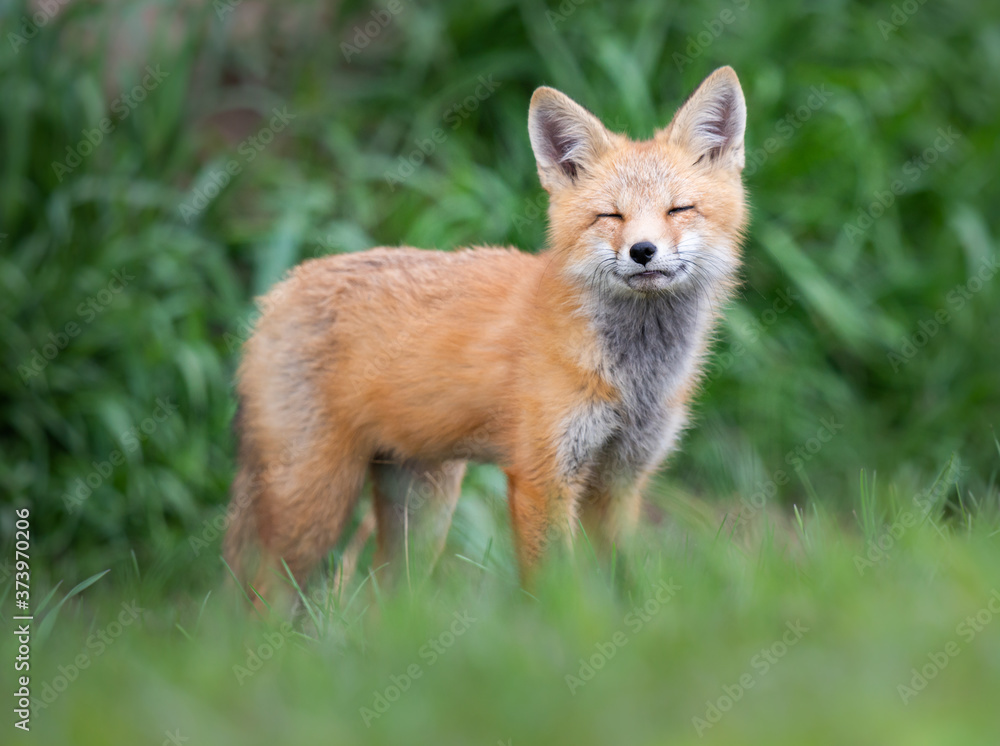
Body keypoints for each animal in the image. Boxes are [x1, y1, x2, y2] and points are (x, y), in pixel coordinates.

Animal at [224, 66, 748, 605]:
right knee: (262, 594)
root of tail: (277, 291)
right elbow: (556, 586)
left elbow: (623, 583)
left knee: (384, 601)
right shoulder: (541, 477)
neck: (634, 377)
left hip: (421, 508)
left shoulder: (620, 480)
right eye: (611, 216)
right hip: (314, 500)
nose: (643, 251)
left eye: (678, 209)